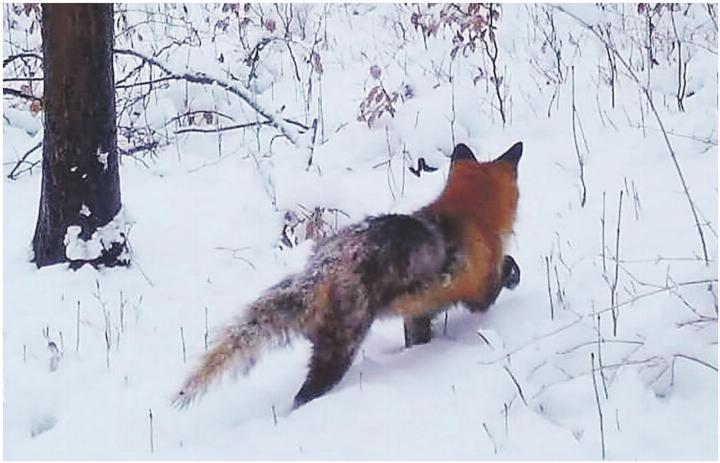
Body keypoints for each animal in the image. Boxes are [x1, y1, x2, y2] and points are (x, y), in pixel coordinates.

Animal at [174, 141, 524, 410]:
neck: (468, 218)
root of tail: (315, 272)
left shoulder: (418, 313)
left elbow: (418, 339)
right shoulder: (477, 292)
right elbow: (503, 271)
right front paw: (514, 273)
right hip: (339, 351)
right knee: (304, 396)